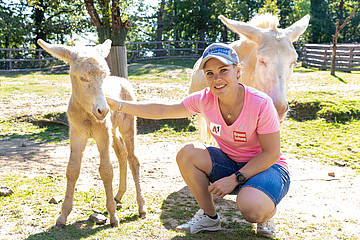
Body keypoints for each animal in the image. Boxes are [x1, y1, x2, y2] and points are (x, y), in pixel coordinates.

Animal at [38, 39, 146, 227]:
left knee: (133, 159)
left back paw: (141, 207)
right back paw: (119, 195)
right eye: (83, 77)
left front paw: (113, 217)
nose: (103, 110)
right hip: (113, 131)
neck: (87, 115)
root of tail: (122, 80)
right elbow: (72, 170)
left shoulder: (103, 135)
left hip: (127, 125)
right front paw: (62, 216)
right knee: (122, 153)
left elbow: (106, 170)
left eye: (104, 76)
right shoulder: (76, 135)